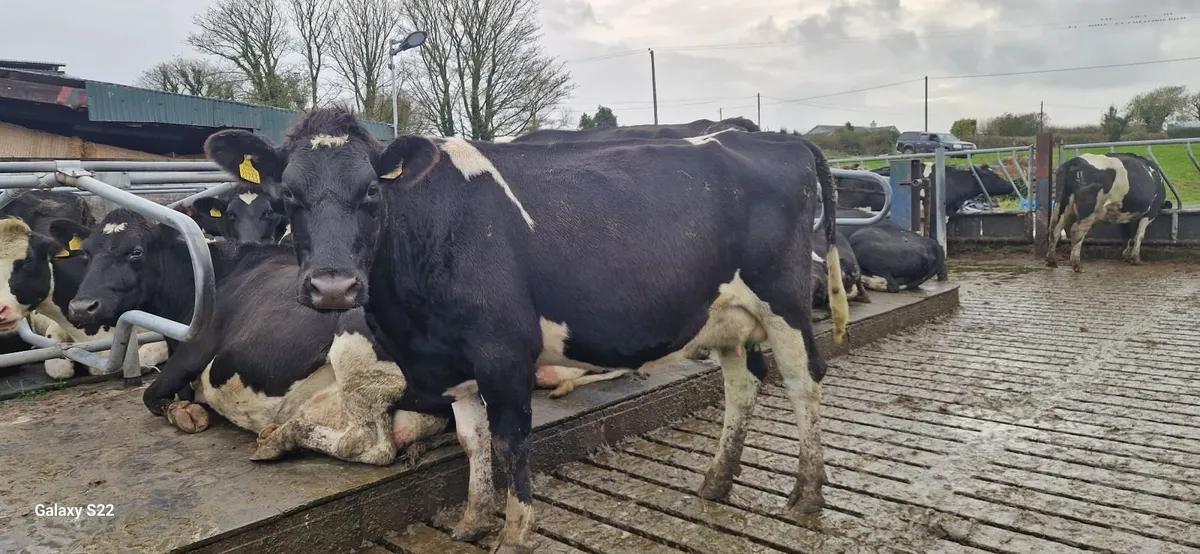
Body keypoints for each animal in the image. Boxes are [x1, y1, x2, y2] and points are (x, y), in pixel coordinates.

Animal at [202, 107, 849, 553]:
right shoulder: (451, 358)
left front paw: (513, 533)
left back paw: (809, 494)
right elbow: (472, 440)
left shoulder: (503, 351)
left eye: (371, 191)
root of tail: (778, 139)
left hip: (784, 303)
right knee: (743, 383)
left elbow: (511, 442)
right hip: (725, 316)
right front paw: (471, 522)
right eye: (288, 196)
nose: (334, 287)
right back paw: (716, 482)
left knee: (804, 381)